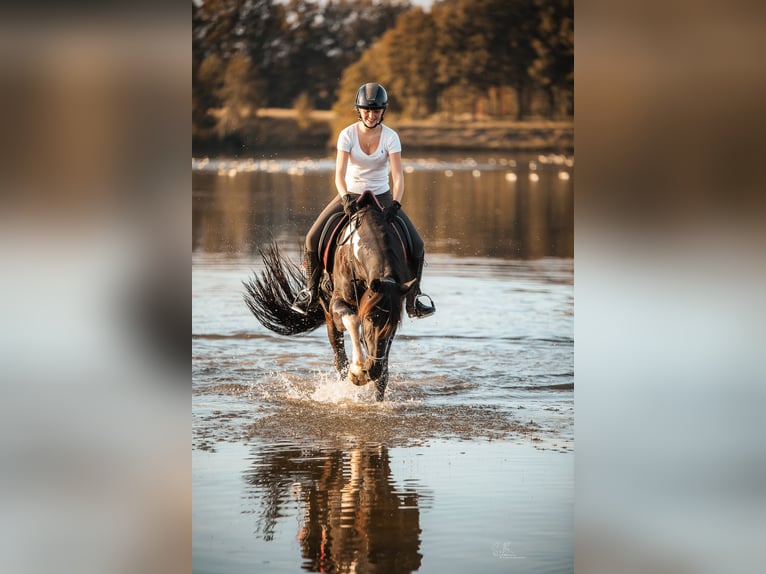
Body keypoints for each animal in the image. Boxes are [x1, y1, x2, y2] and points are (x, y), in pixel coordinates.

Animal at [244, 192, 414, 400]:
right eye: (369, 318)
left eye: (394, 323)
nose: (373, 369)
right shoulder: (337, 304)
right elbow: (353, 320)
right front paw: (357, 371)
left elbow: (383, 372)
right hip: (328, 314)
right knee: (339, 360)